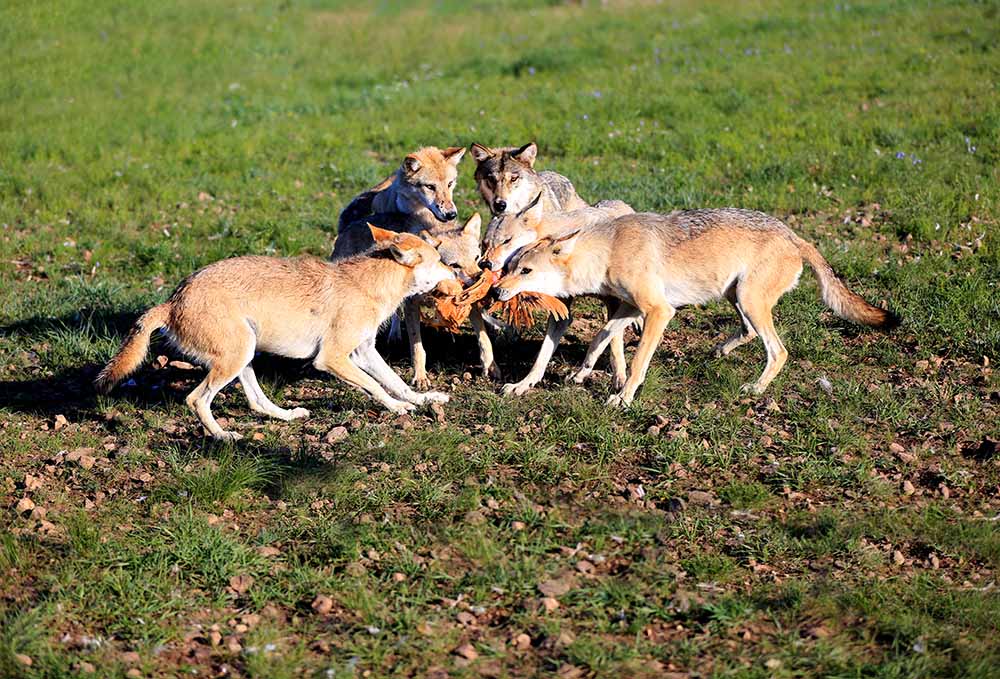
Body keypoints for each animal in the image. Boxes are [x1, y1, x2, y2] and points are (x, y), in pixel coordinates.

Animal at [95, 226, 456, 444]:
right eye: (439, 260)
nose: (457, 273)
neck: (368, 283)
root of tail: (171, 301)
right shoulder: (333, 359)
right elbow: (376, 387)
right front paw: (397, 409)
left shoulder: (364, 352)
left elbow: (396, 382)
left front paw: (424, 400)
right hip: (235, 357)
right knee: (196, 399)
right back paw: (223, 436)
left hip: (245, 354)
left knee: (256, 402)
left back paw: (287, 415)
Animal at [496, 210, 896, 406]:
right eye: (511, 267)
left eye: (525, 271)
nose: (497, 290)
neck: (608, 251)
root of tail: (795, 236)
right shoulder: (631, 309)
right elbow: (600, 337)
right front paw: (574, 374)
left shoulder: (659, 312)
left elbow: (637, 363)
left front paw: (622, 398)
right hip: (738, 298)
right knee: (749, 333)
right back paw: (719, 352)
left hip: (748, 300)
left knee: (779, 351)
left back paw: (754, 389)